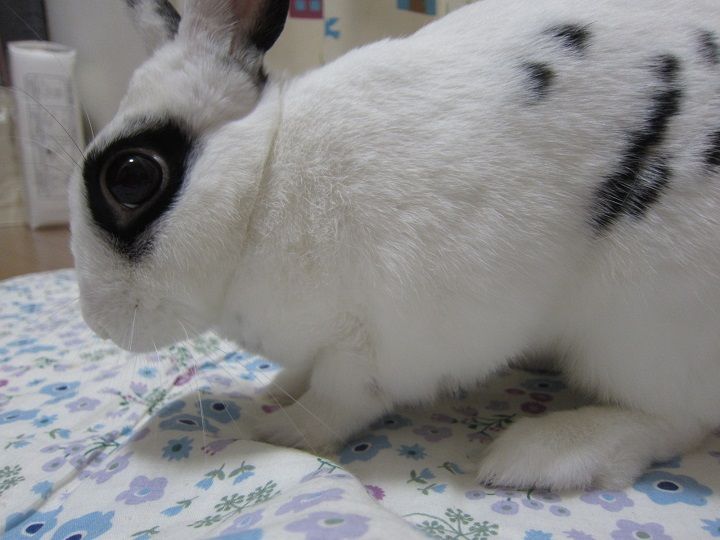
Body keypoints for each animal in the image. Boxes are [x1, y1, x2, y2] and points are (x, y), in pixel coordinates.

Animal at [70, 0, 720, 490]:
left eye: (131, 177)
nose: (97, 322)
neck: (263, 182)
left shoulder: (375, 343)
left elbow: (339, 400)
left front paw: (277, 430)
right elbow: (303, 374)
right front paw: (274, 393)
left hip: (638, 327)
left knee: (673, 419)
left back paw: (539, 455)